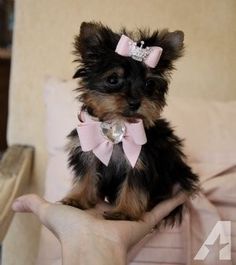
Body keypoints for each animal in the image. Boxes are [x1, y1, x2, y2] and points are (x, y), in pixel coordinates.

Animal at [61, 21, 199, 222]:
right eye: (113, 79)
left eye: (149, 84)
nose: (135, 102)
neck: (119, 125)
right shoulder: (87, 150)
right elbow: (87, 173)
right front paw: (77, 199)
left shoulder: (143, 160)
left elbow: (134, 185)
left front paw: (124, 211)